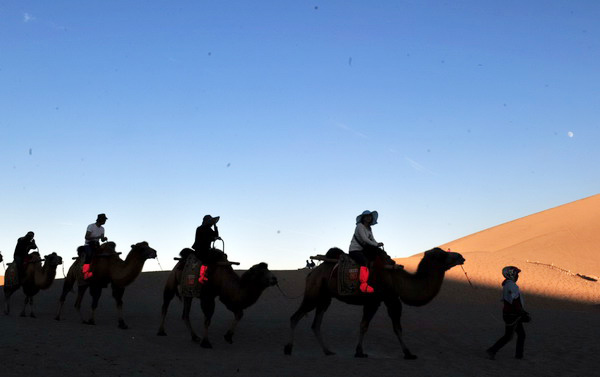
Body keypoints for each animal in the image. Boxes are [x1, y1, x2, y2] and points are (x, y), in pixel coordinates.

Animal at [284, 247, 466, 358]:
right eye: (442, 255)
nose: (461, 256)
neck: (398, 280)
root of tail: (312, 273)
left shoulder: (375, 302)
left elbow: (364, 325)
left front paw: (359, 351)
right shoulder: (388, 300)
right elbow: (396, 327)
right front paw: (408, 353)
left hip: (325, 298)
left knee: (316, 323)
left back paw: (327, 351)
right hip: (314, 294)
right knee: (295, 317)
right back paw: (288, 349)